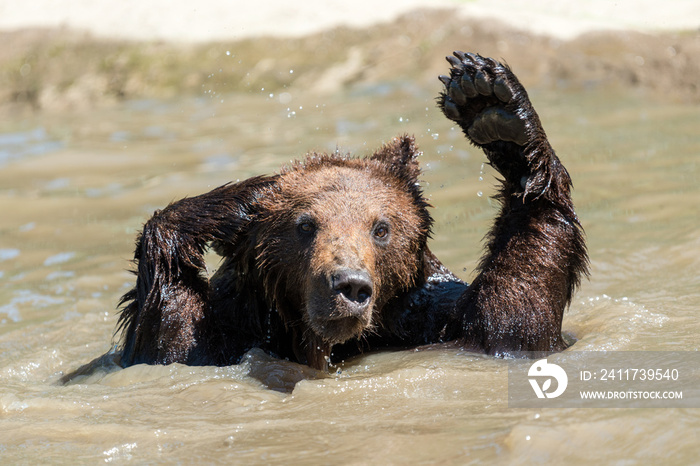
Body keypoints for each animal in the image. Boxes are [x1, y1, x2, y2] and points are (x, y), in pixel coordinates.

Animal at [101, 51, 588, 372]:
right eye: (304, 225)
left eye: (381, 228)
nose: (349, 285)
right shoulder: (233, 329)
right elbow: (172, 338)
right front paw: (244, 199)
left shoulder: (427, 318)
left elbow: (509, 323)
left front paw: (491, 103)